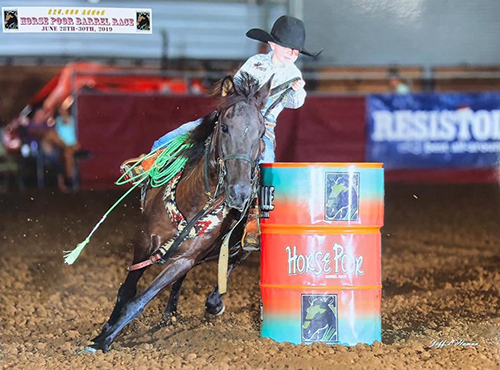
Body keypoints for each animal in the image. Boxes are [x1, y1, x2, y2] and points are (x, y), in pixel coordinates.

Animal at [88, 73, 272, 352]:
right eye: (225, 127)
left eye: (261, 133)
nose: (239, 193)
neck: (192, 201)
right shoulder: (144, 241)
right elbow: (127, 291)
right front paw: (105, 330)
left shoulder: (184, 259)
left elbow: (139, 302)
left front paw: (103, 340)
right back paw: (171, 313)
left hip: (239, 247)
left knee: (229, 264)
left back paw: (211, 303)